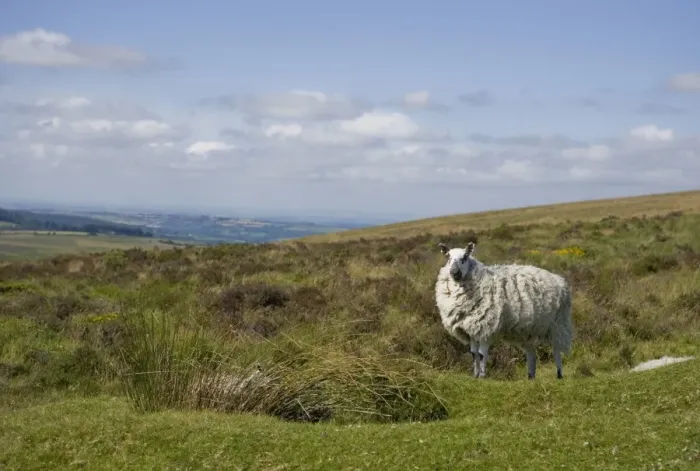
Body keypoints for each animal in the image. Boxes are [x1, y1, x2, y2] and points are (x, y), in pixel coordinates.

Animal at [434, 241, 573, 380]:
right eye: (448, 257)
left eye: (465, 257)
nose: (455, 273)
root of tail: (559, 279)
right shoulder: (470, 328)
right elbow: (474, 354)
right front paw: (475, 375)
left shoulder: (486, 326)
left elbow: (481, 354)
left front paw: (482, 376)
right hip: (528, 329)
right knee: (531, 353)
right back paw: (531, 377)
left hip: (557, 325)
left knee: (556, 350)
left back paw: (559, 375)